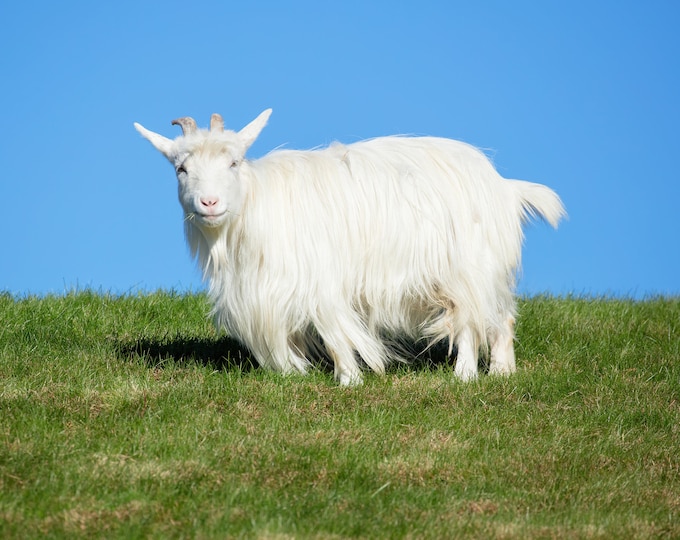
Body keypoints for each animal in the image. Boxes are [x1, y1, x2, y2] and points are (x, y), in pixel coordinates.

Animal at [133, 110, 564, 384]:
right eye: (181, 169)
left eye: (234, 163)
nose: (209, 203)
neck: (255, 207)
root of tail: (505, 187)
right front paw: (296, 373)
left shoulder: (319, 281)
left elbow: (335, 331)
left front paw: (349, 379)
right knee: (501, 317)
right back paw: (503, 371)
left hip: (469, 266)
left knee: (470, 320)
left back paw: (466, 376)